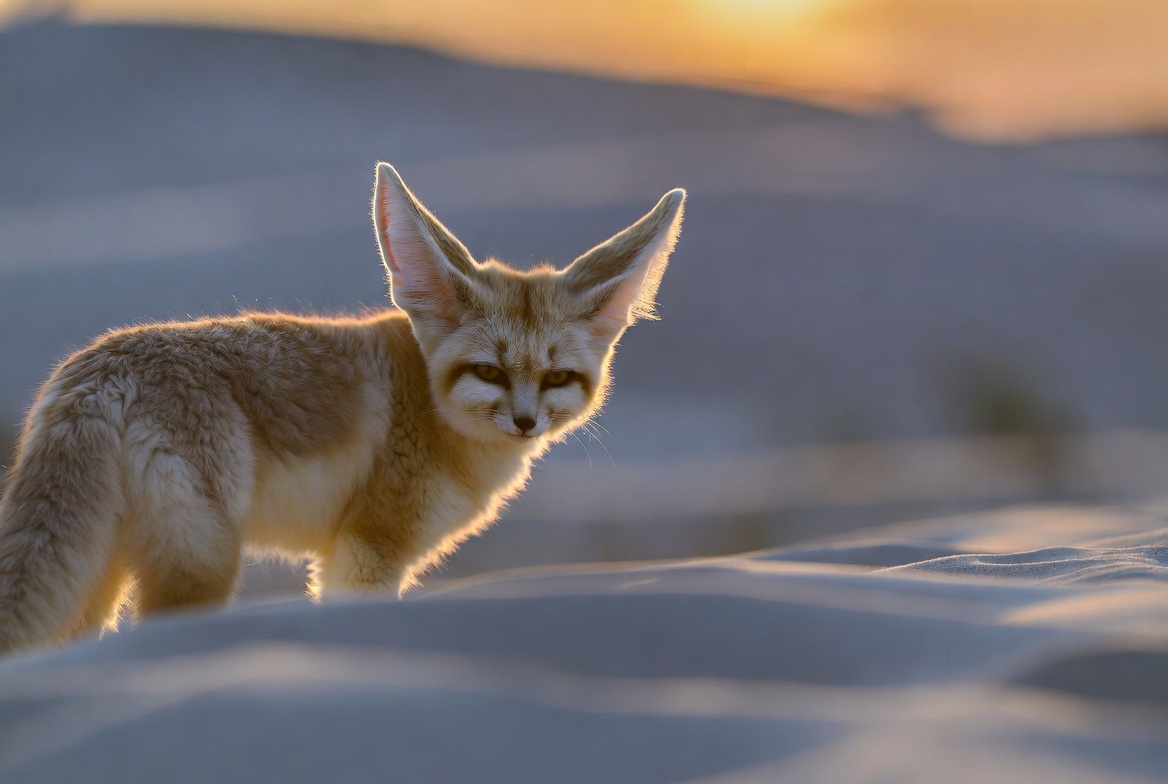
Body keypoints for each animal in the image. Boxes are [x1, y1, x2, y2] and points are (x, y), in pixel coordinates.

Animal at [0, 162, 685, 653]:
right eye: (488, 372)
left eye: (557, 378)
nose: (524, 422)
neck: (429, 408)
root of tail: (96, 372)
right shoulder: (369, 549)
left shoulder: (338, 555)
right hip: (199, 564)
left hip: (104, 577)